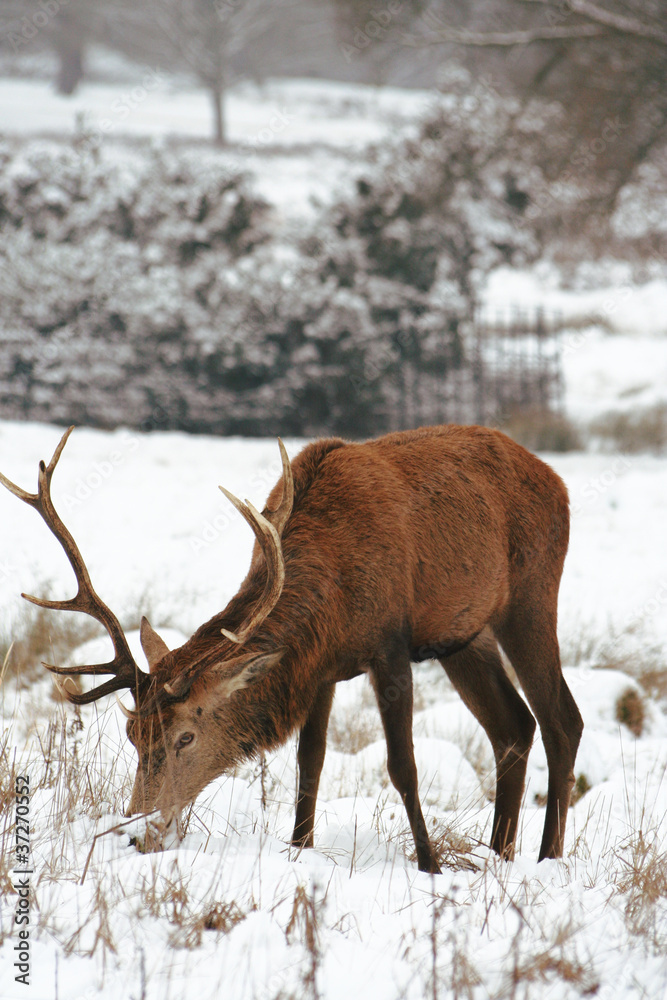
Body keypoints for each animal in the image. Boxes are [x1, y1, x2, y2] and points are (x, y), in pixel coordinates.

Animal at [0, 424, 583, 874]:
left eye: (186, 736)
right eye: (132, 734)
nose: (138, 830)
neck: (335, 597)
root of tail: (556, 480)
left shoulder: (390, 646)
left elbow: (402, 765)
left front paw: (430, 866)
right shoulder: (317, 668)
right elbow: (310, 763)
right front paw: (299, 849)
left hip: (532, 593)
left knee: (561, 720)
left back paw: (547, 860)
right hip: (464, 635)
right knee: (513, 727)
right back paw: (498, 856)